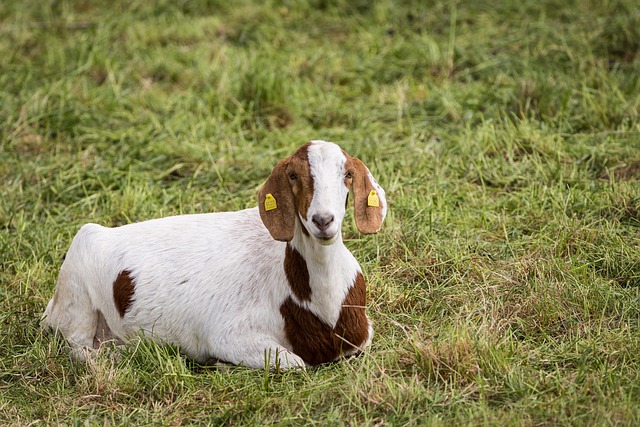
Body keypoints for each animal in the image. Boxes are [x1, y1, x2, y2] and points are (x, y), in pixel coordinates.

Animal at [43, 142, 390, 370]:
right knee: (78, 349)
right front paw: (220, 363)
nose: (322, 220)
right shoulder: (228, 333)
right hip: (77, 292)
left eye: (347, 174)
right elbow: (293, 362)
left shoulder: (362, 333)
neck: (322, 308)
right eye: (293, 175)